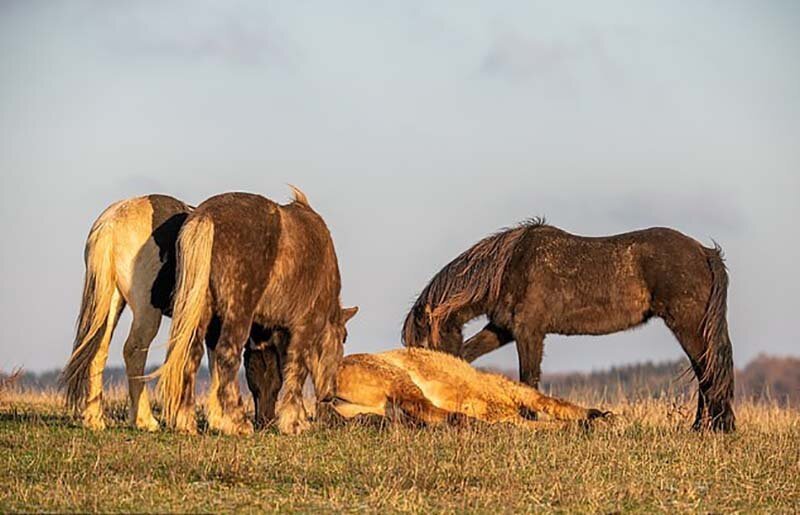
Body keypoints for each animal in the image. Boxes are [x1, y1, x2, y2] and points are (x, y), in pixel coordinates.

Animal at [61, 194, 288, 432]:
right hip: (147, 310)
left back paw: (94, 419)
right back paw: (145, 421)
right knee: (133, 350)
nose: (266, 422)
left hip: (112, 301)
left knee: (98, 350)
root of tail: (111, 223)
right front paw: (220, 419)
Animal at [156, 189, 356, 436]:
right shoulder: (304, 326)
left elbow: (273, 374)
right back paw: (237, 422)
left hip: (201, 314)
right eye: (344, 338)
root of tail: (204, 218)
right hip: (238, 314)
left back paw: (186, 422)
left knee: (191, 355)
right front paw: (294, 422)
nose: (330, 394)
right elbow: (296, 368)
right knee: (227, 354)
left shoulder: (268, 333)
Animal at [404, 220, 736, 434]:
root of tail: (704, 251)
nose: (415, 419)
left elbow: (528, 378)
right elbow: (466, 356)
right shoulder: (502, 329)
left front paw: (529, 420)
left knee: (708, 370)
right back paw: (705, 427)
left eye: (422, 348)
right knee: (707, 371)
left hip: (688, 325)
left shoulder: (528, 331)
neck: (511, 266)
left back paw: (714, 427)